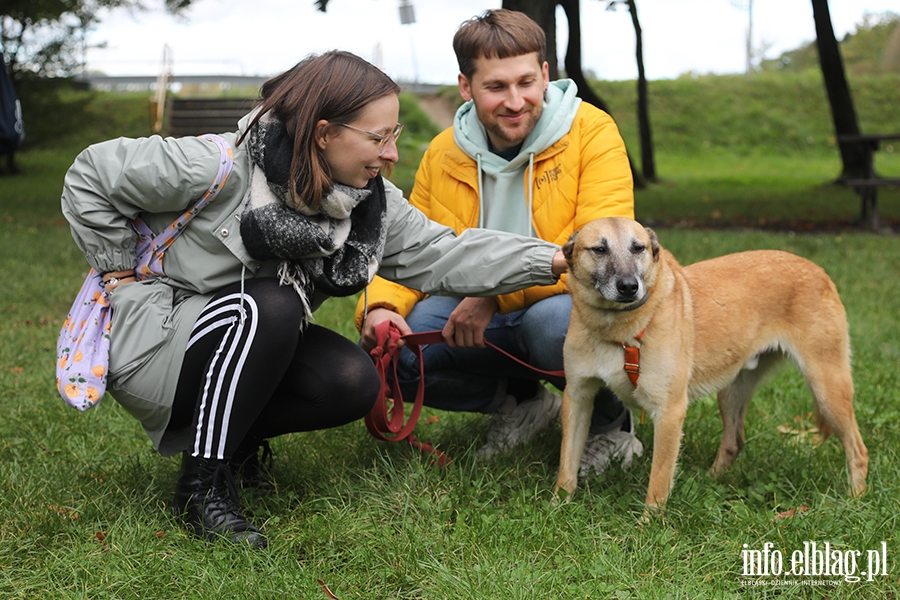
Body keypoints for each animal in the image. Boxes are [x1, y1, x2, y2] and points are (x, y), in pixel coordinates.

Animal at [556, 218, 864, 508]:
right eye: (599, 249)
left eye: (638, 248)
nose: (630, 287)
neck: (617, 330)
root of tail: (817, 269)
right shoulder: (578, 397)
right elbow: (566, 465)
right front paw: (559, 506)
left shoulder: (669, 413)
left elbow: (658, 484)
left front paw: (648, 523)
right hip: (731, 393)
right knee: (734, 442)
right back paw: (708, 481)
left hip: (827, 390)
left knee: (858, 450)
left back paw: (856, 499)